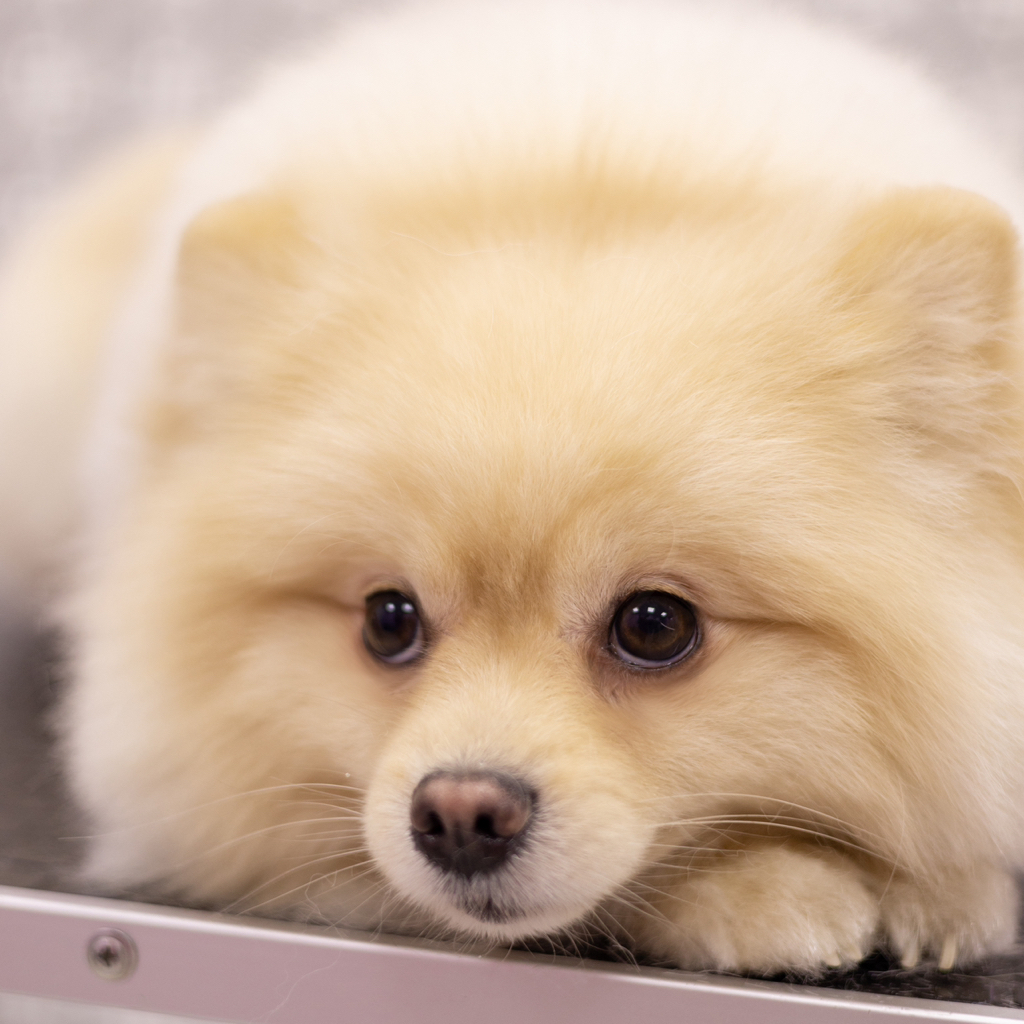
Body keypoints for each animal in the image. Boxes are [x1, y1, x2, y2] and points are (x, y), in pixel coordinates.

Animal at [1, 0, 1023, 975]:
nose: (462, 812)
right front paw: (766, 891)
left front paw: (938, 894)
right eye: (388, 619)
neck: (588, 177)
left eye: (657, 625)